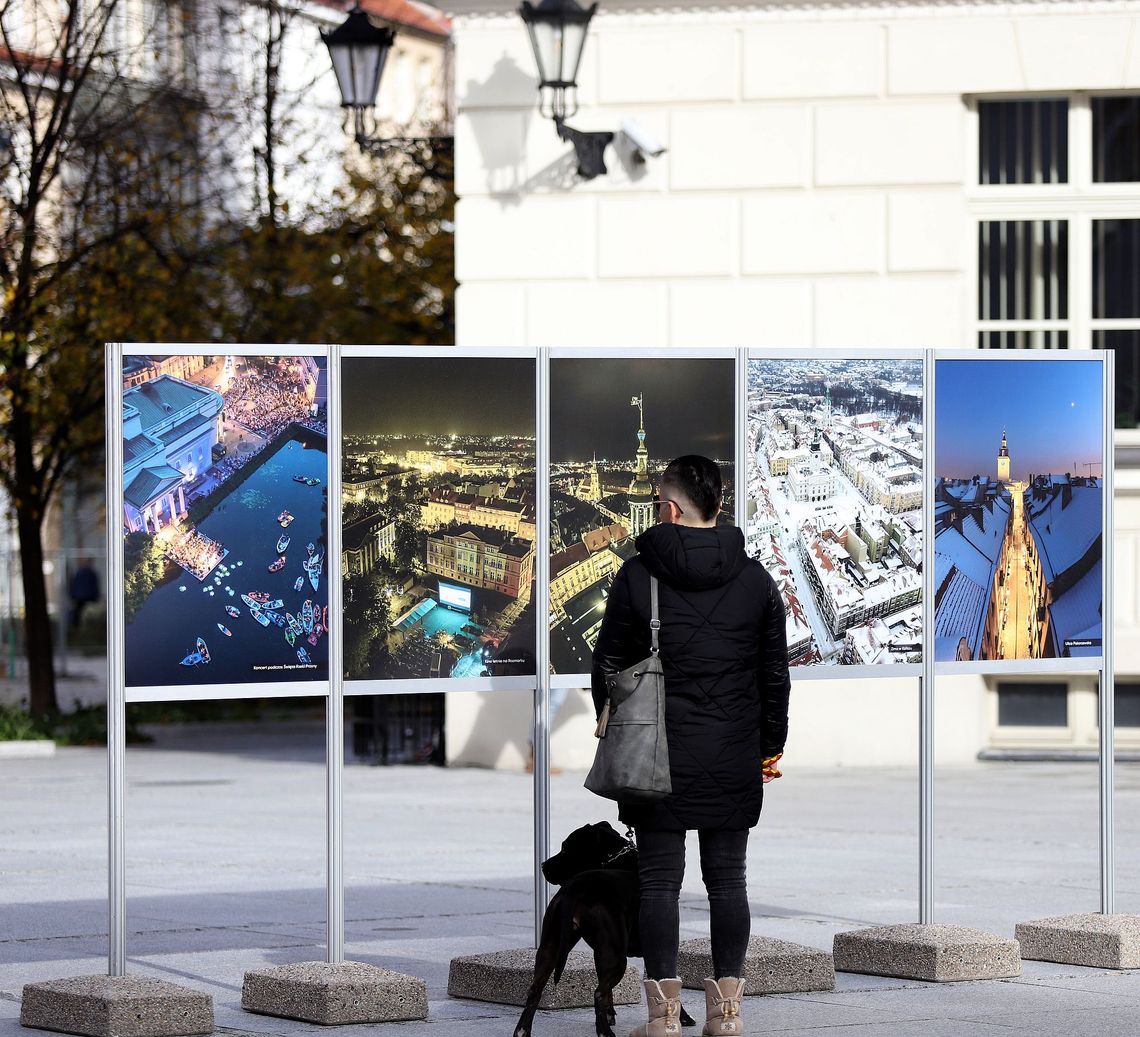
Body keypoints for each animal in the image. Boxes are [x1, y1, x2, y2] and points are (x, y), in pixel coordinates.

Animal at [515, 829, 693, 1037]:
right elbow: (666, 982)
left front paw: (610, 1014)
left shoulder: (602, 952)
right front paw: (682, 1017)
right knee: (598, 993)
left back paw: (522, 1030)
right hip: (617, 958)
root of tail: (575, 888)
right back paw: (604, 1032)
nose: (542, 866)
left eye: (565, 849)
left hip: (550, 947)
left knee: (535, 989)